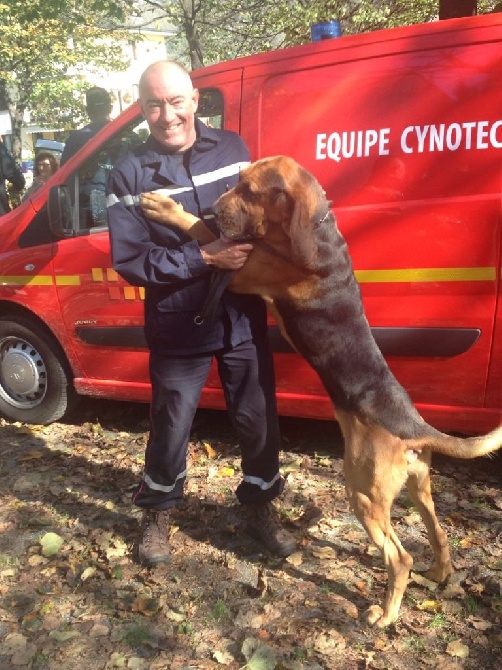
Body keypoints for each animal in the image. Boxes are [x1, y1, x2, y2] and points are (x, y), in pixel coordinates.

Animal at [138, 155, 502, 628]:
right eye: (237, 182)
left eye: (250, 191)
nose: (215, 212)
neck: (317, 231)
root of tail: (413, 425)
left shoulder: (244, 268)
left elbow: (198, 232)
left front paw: (165, 208)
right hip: (419, 487)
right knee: (439, 535)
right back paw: (439, 575)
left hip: (363, 493)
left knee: (398, 558)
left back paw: (385, 615)